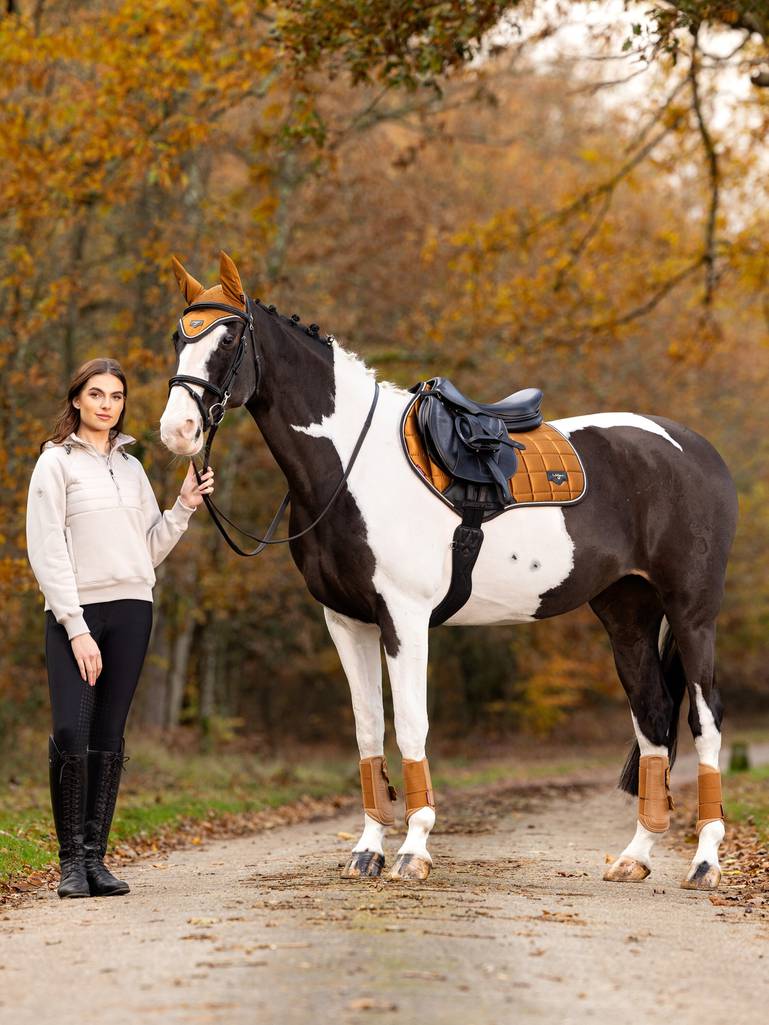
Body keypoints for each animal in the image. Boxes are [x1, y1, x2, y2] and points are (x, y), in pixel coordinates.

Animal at [159, 252, 737, 890]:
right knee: (653, 719)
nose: (177, 431)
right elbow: (368, 730)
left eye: (228, 337)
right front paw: (367, 851)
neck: (353, 467)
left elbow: (411, 726)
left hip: (691, 614)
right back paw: (636, 856)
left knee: (705, 721)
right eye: (178, 338)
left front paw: (413, 851)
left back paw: (705, 861)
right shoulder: (346, 622)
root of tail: (696, 450)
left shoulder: (404, 618)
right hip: (627, 613)